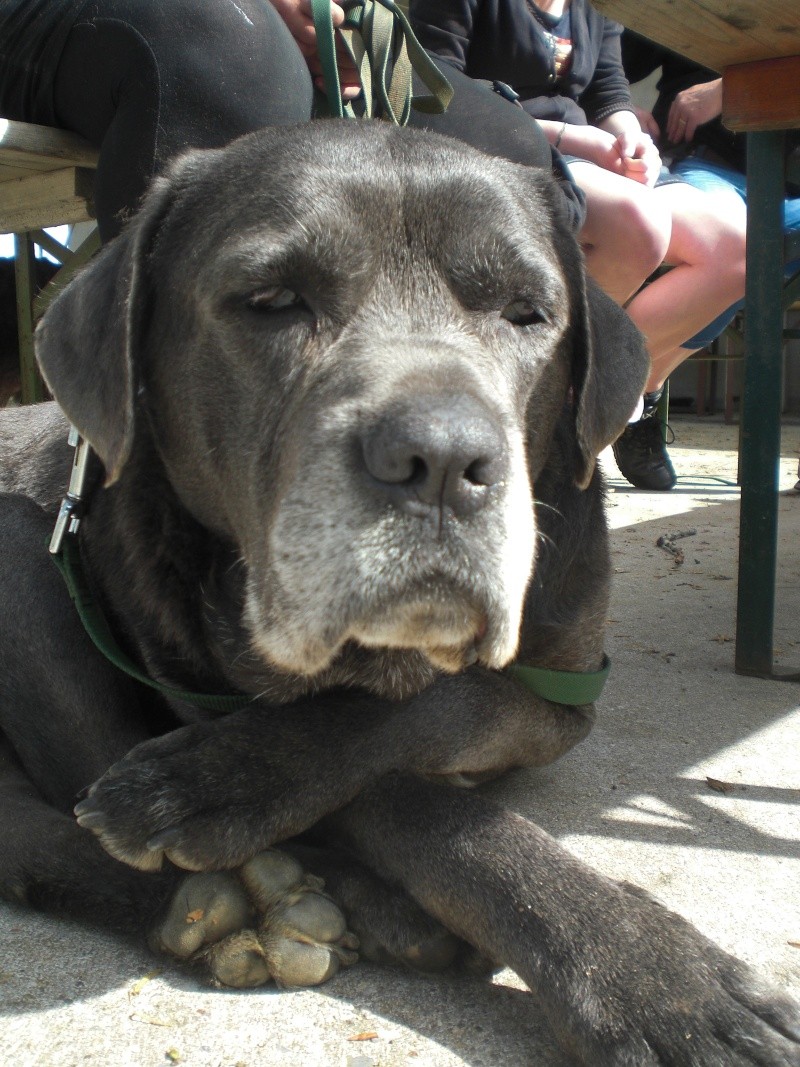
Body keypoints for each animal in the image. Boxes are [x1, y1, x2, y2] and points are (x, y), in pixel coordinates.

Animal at [0, 121, 797, 1062]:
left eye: (526, 312)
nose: (445, 460)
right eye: (272, 299)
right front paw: (661, 980)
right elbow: (413, 798)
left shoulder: (564, 689)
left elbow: (431, 715)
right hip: (20, 550)